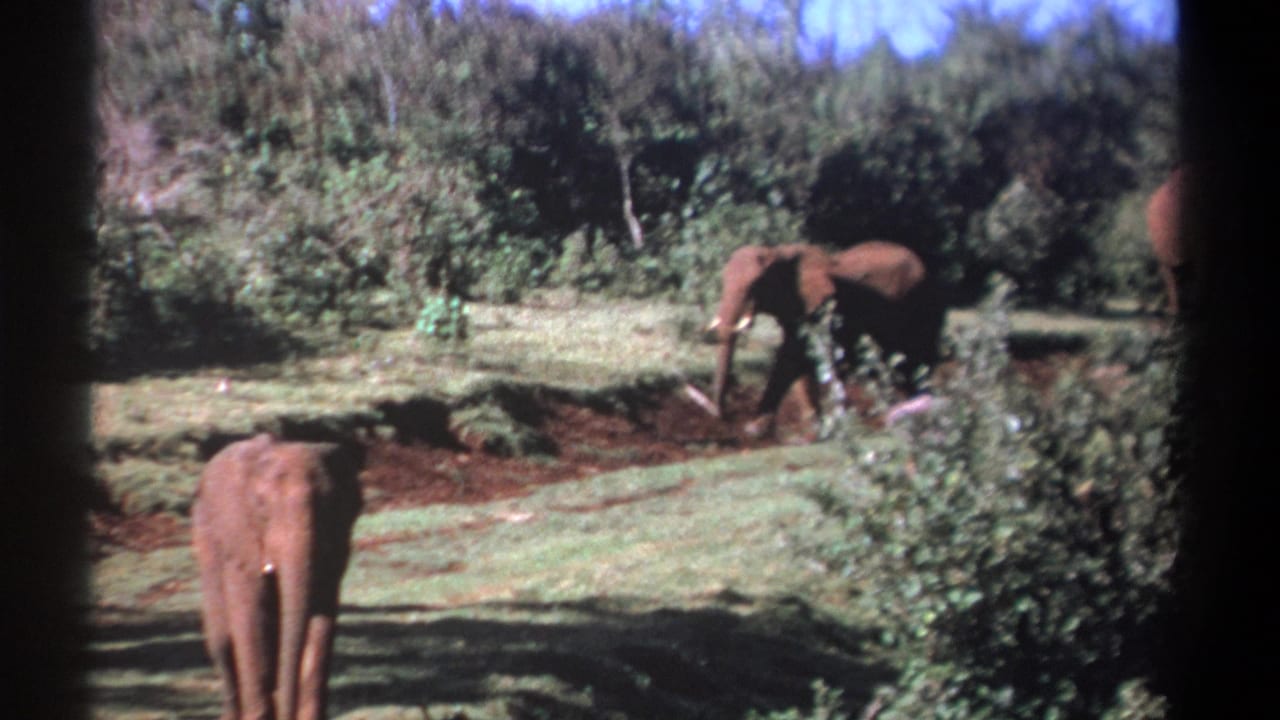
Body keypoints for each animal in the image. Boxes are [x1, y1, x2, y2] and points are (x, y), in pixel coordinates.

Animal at [192, 434, 364, 720]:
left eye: (330, 504)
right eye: (261, 507)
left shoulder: (338, 541)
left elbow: (323, 617)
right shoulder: (240, 538)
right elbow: (249, 614)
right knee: (223, 642)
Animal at [707, 241, 945, 438]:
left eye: (756, 285)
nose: (722, 416)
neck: (779, 253)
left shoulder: (821, 307)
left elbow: (792, 356)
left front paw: (754, 429)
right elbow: (797, 359)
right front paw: (814, 429)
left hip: (923, 302)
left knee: (919, 360)